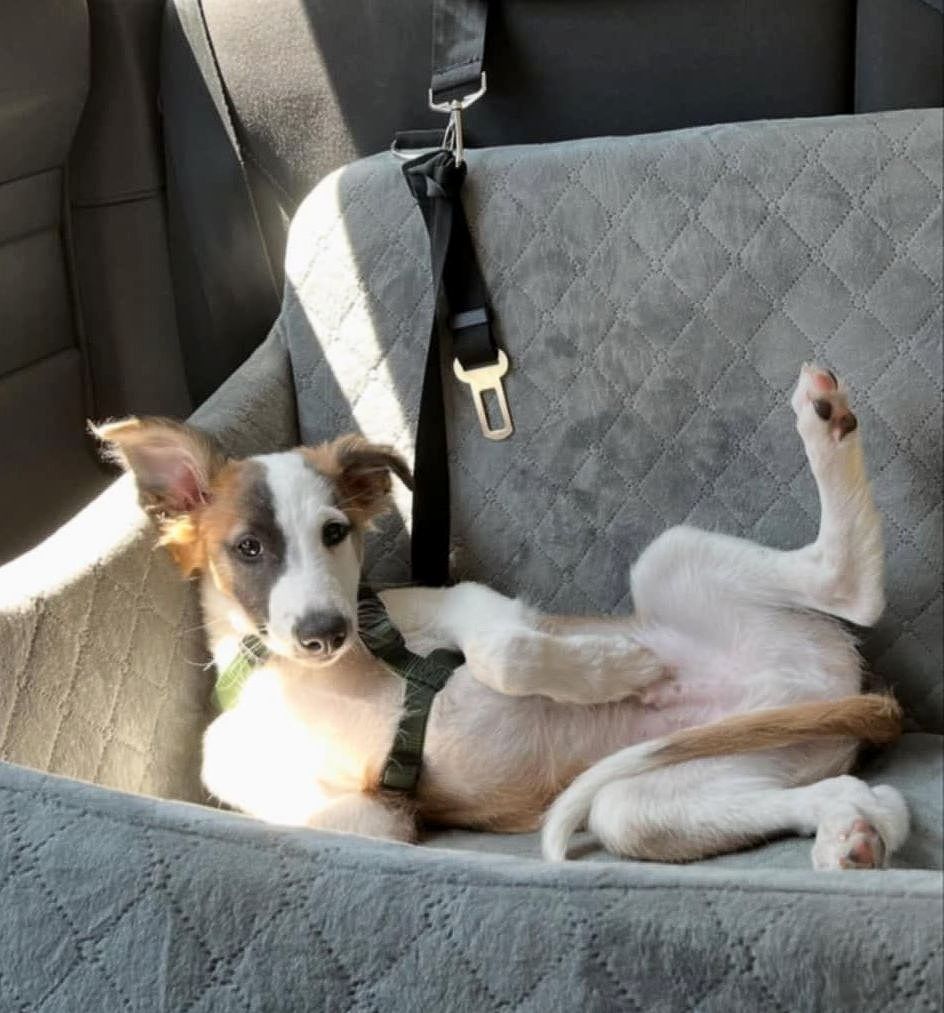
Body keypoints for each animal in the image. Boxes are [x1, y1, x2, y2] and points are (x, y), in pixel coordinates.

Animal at [96, 364, 909, 869]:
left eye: (334, 533)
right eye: (248, 548)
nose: (324, 632)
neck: (302, 680)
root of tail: (826, 686)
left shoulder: (460, 600)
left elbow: (505, 653)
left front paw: (615, 668)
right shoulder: (368, 818)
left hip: (671, 561)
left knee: (850, 585)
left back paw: (827, 423)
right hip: (660, 793)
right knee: (831, 788)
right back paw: (857, 829)